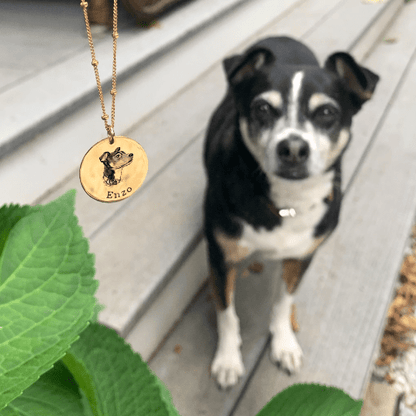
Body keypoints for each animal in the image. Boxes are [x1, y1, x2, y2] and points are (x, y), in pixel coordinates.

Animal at [203, 36, 378, 390]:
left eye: (327, 112)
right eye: (262, 109)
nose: (294, 148)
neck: (285, 202)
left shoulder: (301, 257)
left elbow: (283, 302)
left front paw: (284, 344)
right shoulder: (221, 259)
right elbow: (226, 312)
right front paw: (227, 359)